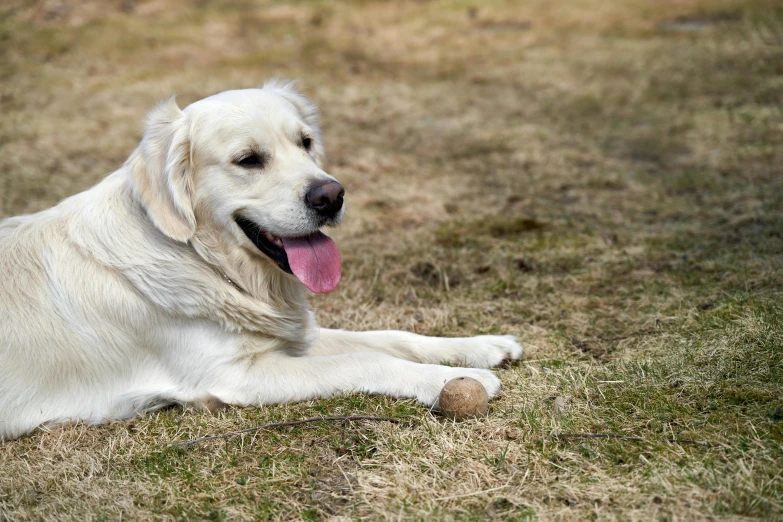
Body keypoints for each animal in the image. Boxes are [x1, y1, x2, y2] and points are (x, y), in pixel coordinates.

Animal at [1, 80, 528, 438]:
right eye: (248, 159)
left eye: (306, 142)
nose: (331, 195)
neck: (209, 263)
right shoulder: (236, 375)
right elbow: (366, 359)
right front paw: (453, 380)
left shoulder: (291, 335)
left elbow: (390, 337)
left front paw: (480, 346)